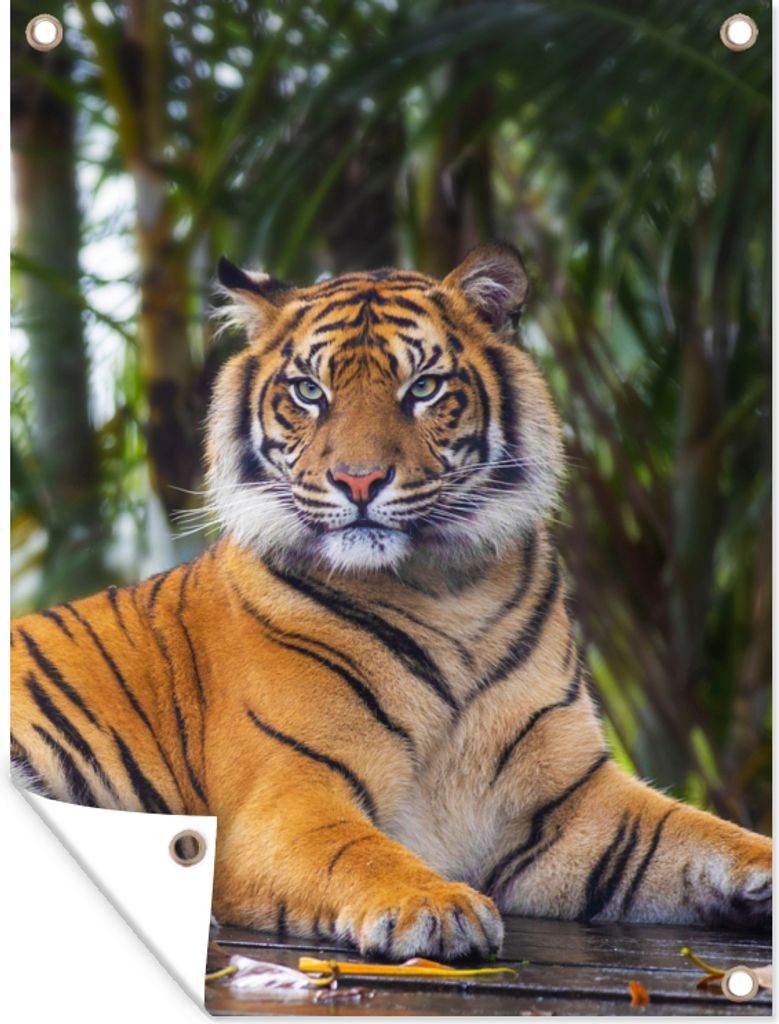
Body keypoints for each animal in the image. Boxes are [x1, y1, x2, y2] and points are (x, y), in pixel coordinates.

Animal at [11, 243, 771, 960]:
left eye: (424, 388)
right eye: (309, 391)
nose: (358, 480)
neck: (447, 592)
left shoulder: (570, 800)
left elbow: (697, 829)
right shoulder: (287, 793)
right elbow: (357, 849)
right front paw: (435, 904)